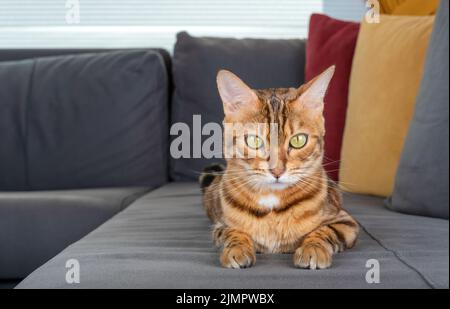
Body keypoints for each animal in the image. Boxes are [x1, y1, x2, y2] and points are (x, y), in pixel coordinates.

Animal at [200, 66, 358, 268]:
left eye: (299, 140)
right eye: (254, 140)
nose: (277, 171)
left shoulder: (346, 222)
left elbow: (325, 231)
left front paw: (313, 248)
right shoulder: (220, 226)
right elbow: (233, 232)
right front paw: (237, 248)